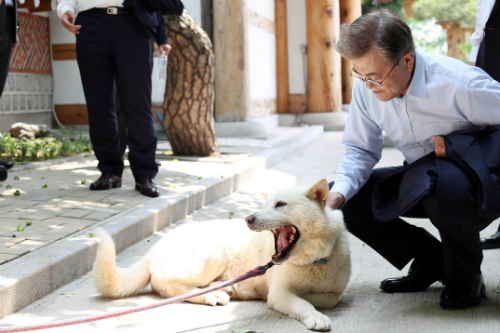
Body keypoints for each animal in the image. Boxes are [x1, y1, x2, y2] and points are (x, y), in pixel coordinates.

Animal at [94, 179, 352, 330]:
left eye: (280, 204)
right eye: (266, 205)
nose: (248, 218)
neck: (314, 260)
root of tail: (154, 248)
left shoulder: (334, 292)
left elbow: (330, 298)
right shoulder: (279, 294)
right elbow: (303, 303)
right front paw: (314, 314)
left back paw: (222, 288)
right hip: (213, 256)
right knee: (169, 287)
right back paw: (212, 295)